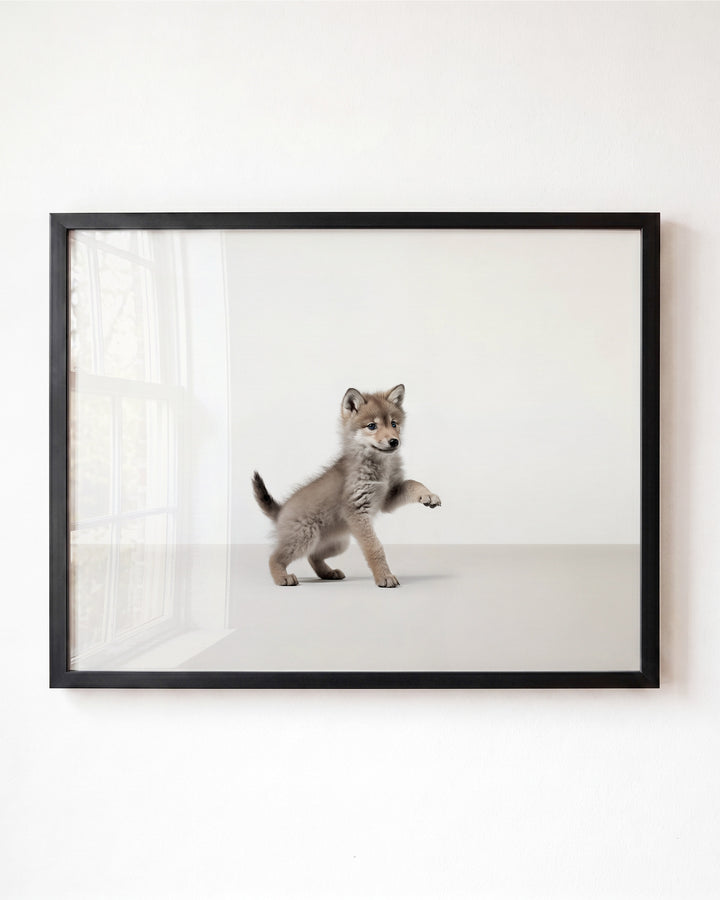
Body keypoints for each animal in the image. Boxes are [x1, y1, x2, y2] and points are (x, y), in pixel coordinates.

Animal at [252, 384, 441, 587]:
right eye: (372, 426)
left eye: (393, 424)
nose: (394, 441)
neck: (379, 466)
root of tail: (280, 510)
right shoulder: (357, 511)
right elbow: (374, 547)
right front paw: (384, 576)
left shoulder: (388, 497)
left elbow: (413, 483)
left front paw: (428, 495)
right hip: (305, 538)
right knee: (274, 557)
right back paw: (282, 577)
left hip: (337, 544)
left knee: (313, 556)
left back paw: (328, 573)